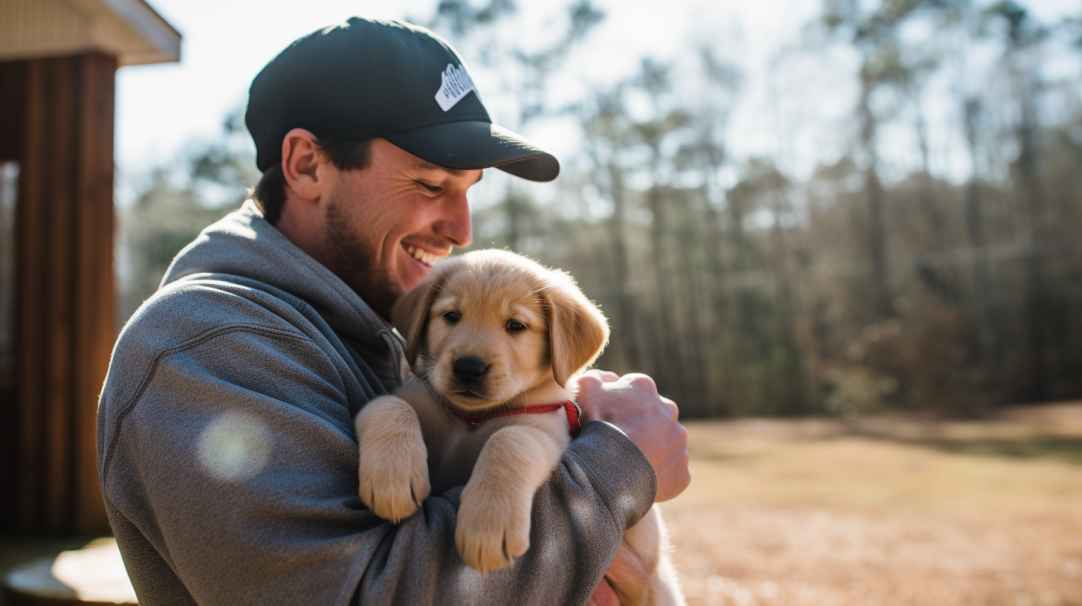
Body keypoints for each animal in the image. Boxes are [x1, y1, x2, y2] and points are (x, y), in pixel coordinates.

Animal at [354, 248, 679, 601]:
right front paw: (392, 478)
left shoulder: (547, 433)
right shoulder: (409, 398)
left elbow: (509, 439)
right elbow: (389, 404)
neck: (472, 419)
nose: (468, 368)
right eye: (451, 316)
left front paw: (487, 523)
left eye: (516, 325)